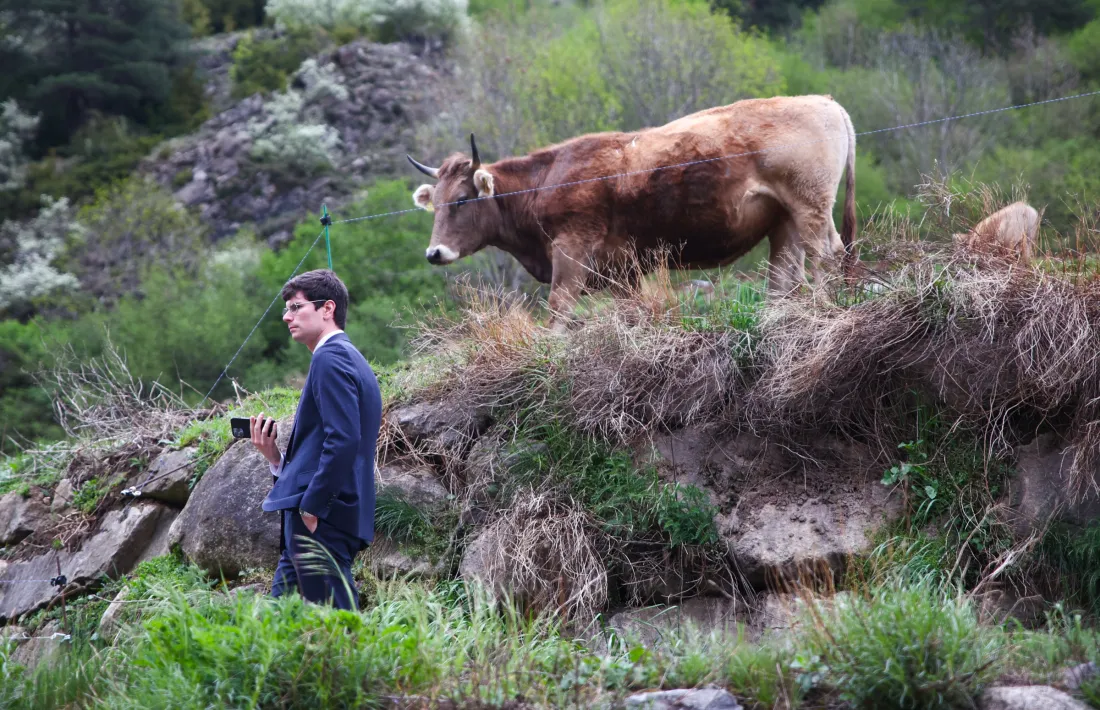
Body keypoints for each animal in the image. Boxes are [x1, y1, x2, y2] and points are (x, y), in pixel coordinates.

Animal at [407, 94, 857, 324]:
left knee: (828, 255)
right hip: (784, 220)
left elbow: (559, 308)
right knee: (786, 275)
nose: (433, 253)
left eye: (462, 200)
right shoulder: (622, 269)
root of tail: (826, 102)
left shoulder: (571, 251)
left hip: (810, 205)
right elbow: (631, 310)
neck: (548, 177)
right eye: (436, 205)